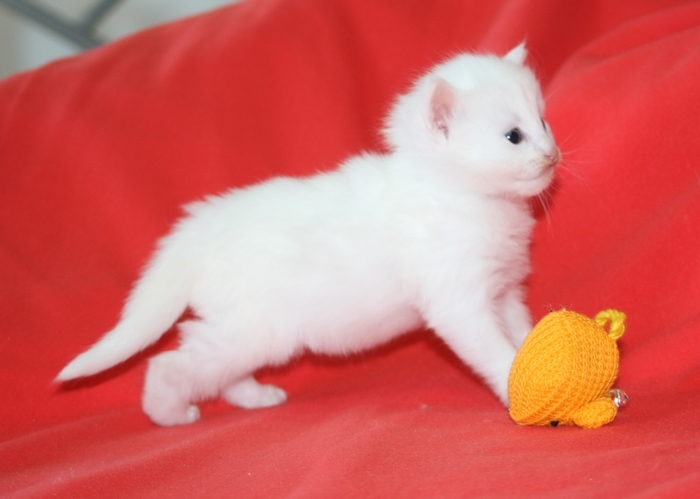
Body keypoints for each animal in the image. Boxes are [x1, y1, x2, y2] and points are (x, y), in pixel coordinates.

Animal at [57, 43, 560, 426]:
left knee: (220, 372)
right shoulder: (460, 303)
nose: (552, 154)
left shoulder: (504, 293)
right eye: (514, 136)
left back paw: (255, 398)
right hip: (252, 331)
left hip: (243, 332)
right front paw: (518, 390)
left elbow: (525, 335)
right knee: (169, 364)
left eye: (543, 123)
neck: (461, 194)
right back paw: (169, 414)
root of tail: (195, 228)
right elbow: (497, 352)